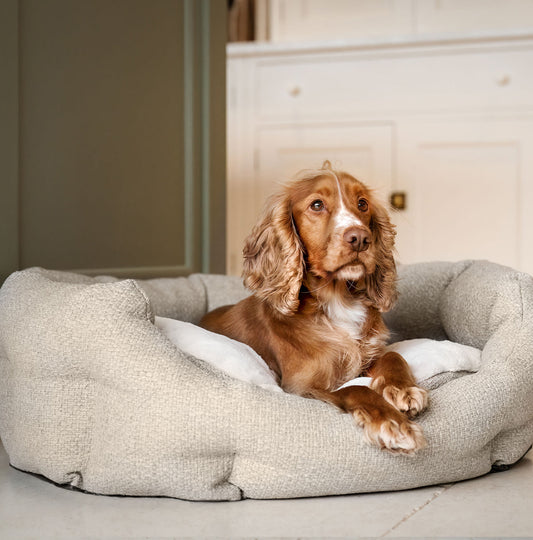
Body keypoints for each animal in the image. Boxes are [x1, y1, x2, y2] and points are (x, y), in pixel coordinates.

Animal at [200, 161, 428, 456]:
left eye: (362, 203)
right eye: (317, 205)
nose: (360, 238)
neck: (337, 300)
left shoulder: (368, 356)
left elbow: (392, 355)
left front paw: (403, 390)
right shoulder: (301, 387)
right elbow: (353, 390)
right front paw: (393, 423)